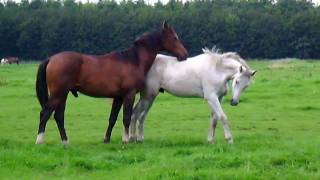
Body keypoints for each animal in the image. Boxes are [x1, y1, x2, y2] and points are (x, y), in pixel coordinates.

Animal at [35, 21, 188, 145]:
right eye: (174, 38)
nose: (185, 54)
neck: (132, 60)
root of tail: (51, 59)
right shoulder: (129, 95)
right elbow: (126, 117)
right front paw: (126, 140)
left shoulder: (118, 97)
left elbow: (112, 118)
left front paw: (106, 139)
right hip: (58, 94)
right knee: (45, 113)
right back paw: (40, 141)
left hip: (63, 95)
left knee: (58, 116)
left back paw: (65, 142)